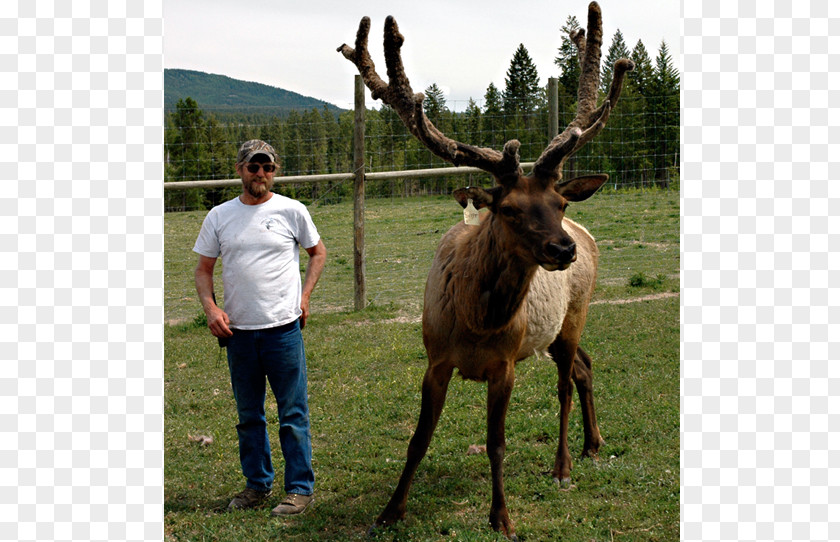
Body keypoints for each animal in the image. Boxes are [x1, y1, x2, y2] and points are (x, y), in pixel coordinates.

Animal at [338, 3, 632, 540]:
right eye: (509, 209)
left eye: (557, 202)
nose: (562, 249)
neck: (476, 321)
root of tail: (588, 234)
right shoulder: (435, 359)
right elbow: (417, 439)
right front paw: (390, 511)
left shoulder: (505, 364)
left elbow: (496, 442)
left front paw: (502, 517)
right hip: (555, 333)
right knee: (585, 366)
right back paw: (593, 443)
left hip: (575, 315)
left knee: (566, 382)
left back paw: (563, 465)